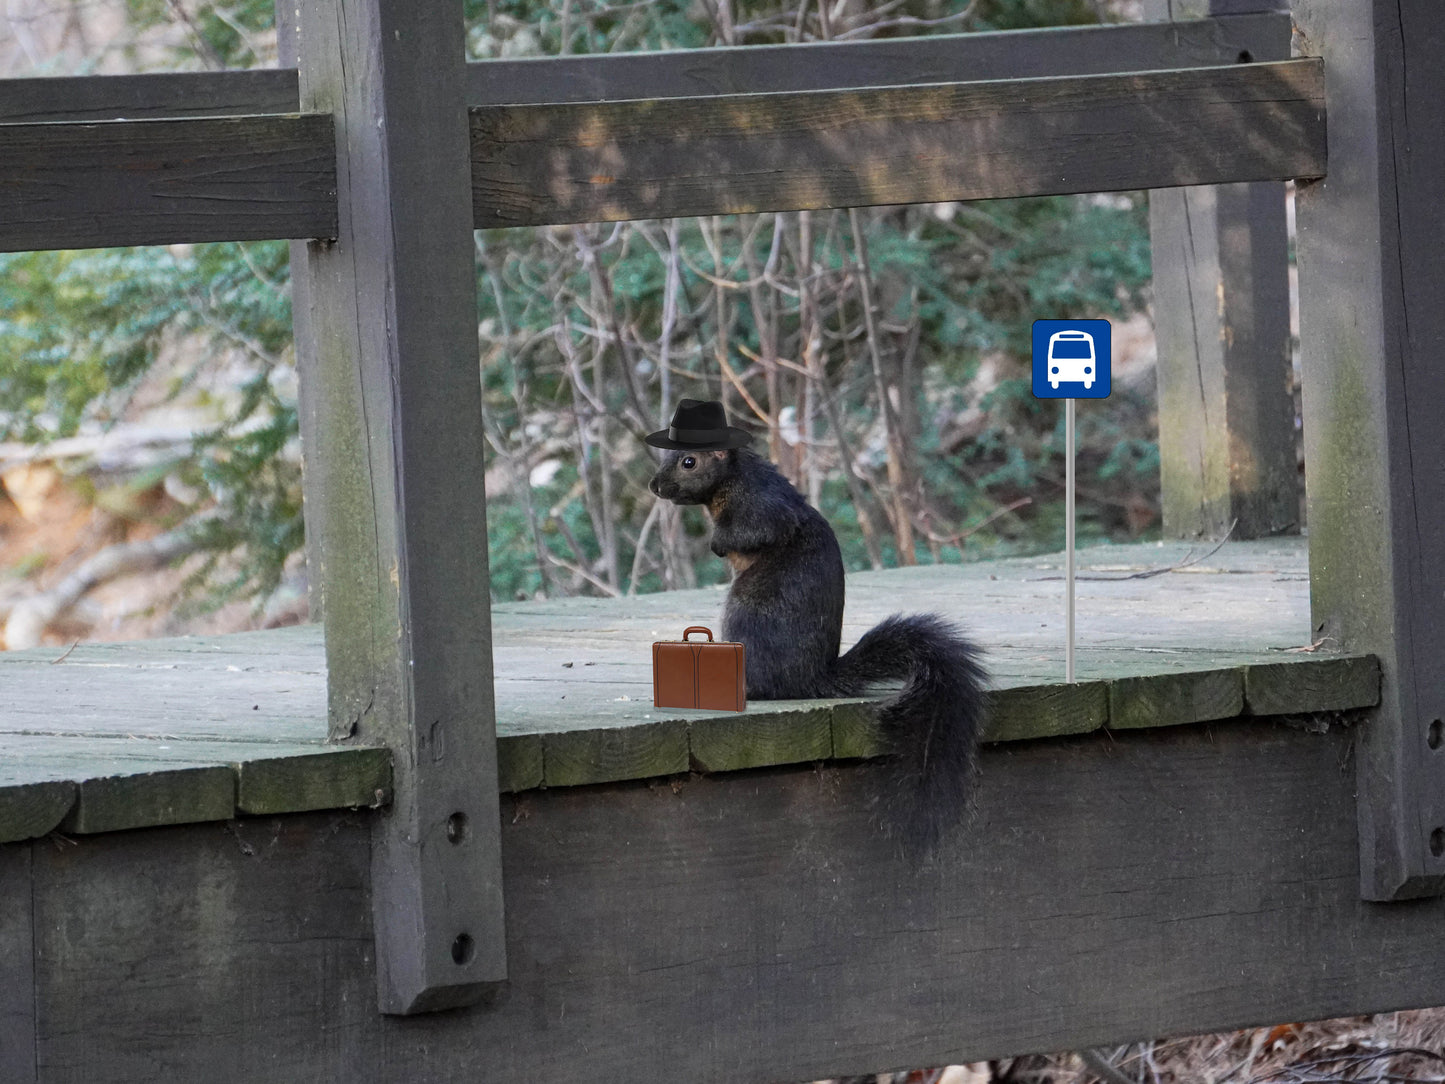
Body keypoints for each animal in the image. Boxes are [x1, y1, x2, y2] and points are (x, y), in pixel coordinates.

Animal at [649, 444, 988, 854]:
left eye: (689, 462)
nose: (655, 485)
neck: (730, 480)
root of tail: (814, 677)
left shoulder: (763, 506)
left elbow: (754, 532)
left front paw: (717, 543)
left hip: (747, 612)